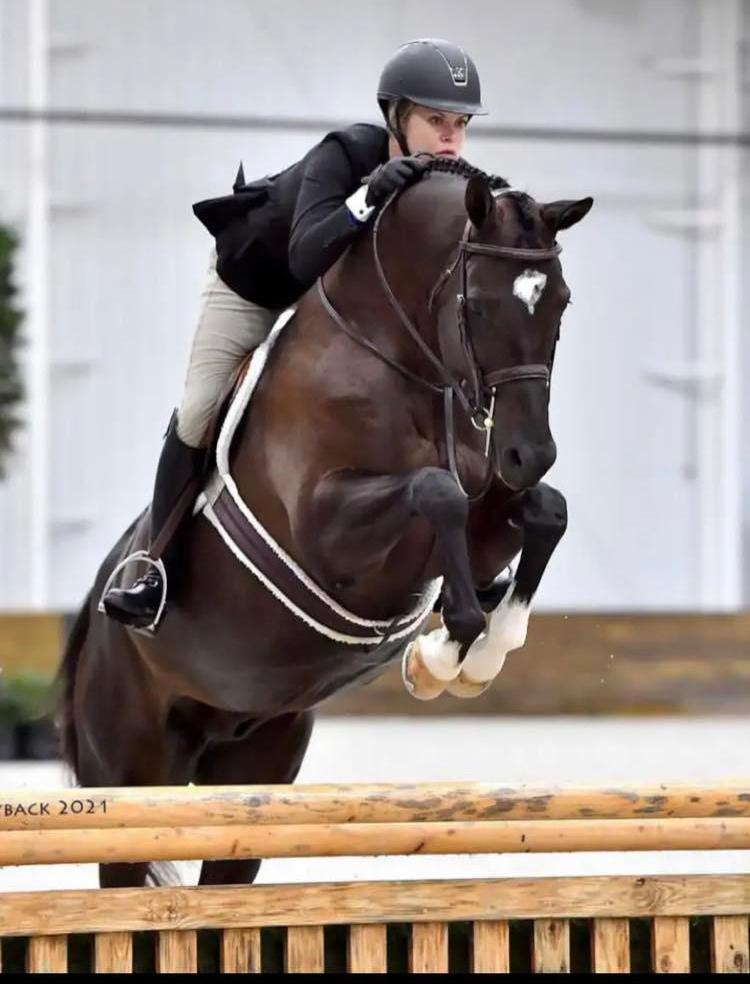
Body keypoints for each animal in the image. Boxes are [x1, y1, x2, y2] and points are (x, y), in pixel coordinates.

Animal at [57, 158, 592, 888]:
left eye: (561, 304)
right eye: (479, 306)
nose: (528, 454)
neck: (403, 358)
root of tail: (94, 614)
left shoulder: (479, 518)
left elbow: (543, 510)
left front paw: (477, 650)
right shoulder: (326, 530)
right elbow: (436, 492)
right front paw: (446, 649)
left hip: (255, 764)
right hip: (127, 771)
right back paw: (139, 593)